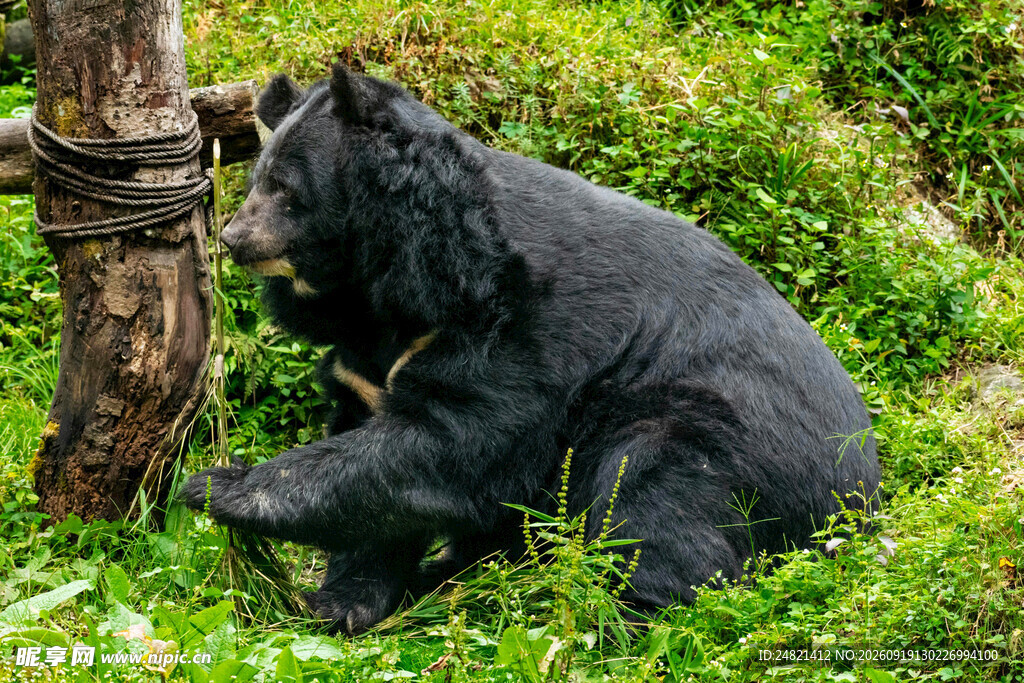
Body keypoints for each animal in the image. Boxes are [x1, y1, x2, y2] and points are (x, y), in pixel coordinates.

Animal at [182, 63, 880, 634]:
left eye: (286, 189)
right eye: (255, 178)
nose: (232, 239)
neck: (398, 276)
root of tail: (863, 503)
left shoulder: (524, 330)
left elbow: (450, 445)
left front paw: (220, 485)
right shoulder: (368, 362)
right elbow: (377, 455)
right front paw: (341, 602)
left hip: (718, 441)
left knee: (656, 507)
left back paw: (612, 612)